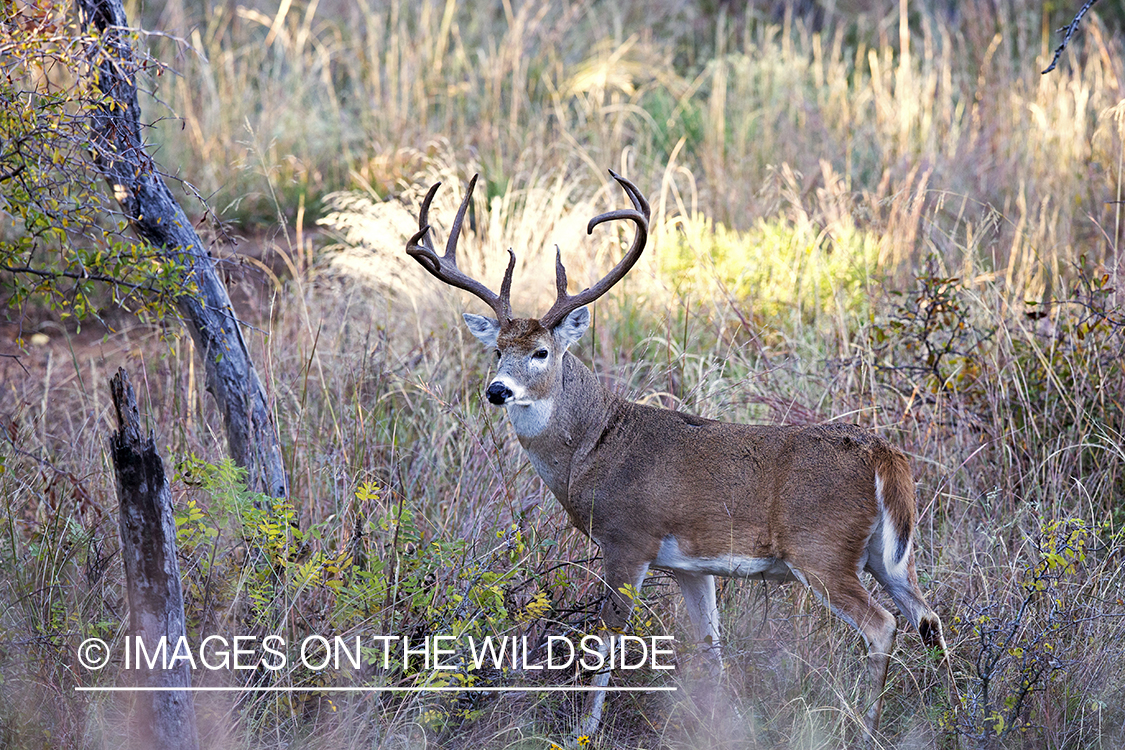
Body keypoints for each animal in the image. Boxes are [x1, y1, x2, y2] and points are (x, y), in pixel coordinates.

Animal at [405, 172, 949, 746]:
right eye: (496, 351)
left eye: (541, 352)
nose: (498, 391)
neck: (594, 446)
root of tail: (885, 455)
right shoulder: (691, 564)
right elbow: (711, 649)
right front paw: (717, 724)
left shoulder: (628, 537)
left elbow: (606, 640)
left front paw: (583, 730)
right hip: (889, 555)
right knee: (929, 619)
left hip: (820, 549)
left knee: (883, 625)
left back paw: (866, 728)